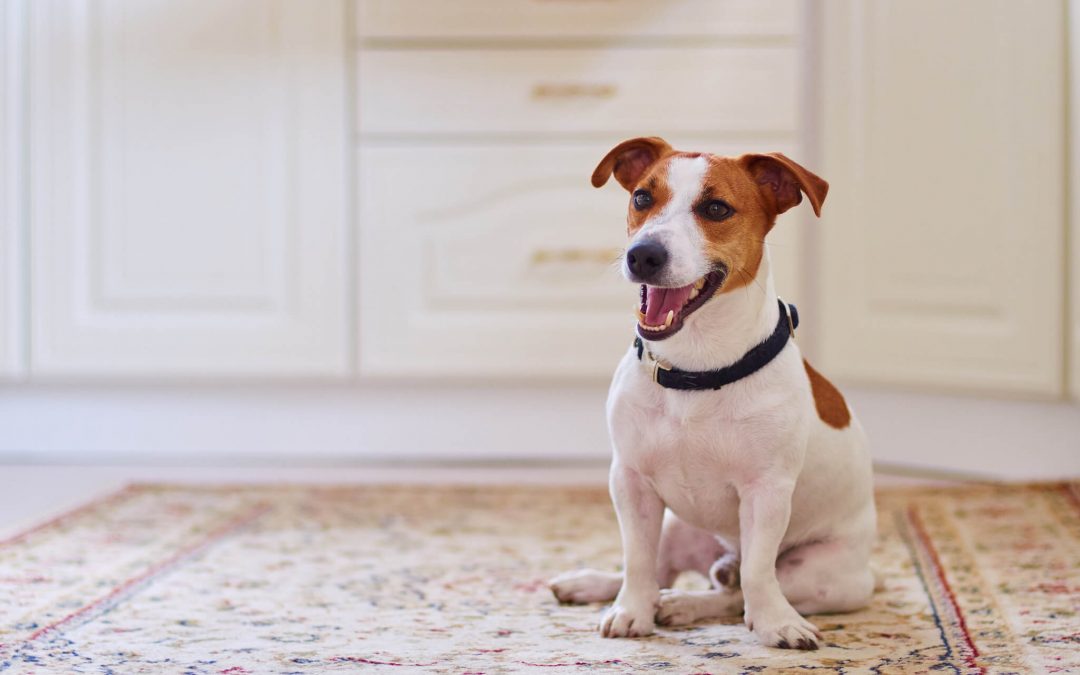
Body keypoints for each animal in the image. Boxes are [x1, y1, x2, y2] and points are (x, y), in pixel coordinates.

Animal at [548, 135, 876, 648]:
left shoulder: (766, 492)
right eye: (642, 197)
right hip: (675, 524)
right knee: (663, 570)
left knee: (737, 590)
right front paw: (630, 611)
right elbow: (637, 561)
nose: (643, 255)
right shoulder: (631, 480)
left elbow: (759, 573)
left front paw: (777, 625)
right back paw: (599, 586)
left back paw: (687, 604)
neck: (695, 369)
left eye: (716, 208)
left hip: (822, 573)